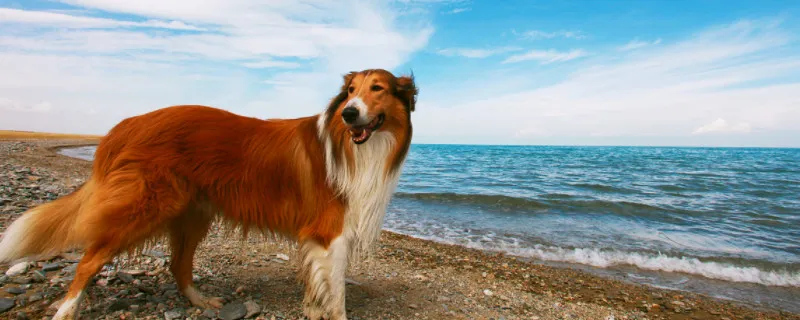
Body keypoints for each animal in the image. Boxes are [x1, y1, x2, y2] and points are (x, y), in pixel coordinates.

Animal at [0, 69, 422, 318]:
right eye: (350, 91)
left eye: (378, 88)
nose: (349, 113)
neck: (357, 148)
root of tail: (125, 125)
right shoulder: (330, 234)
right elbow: (336, 296)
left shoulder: (321, 241)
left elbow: (320, 290)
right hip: (143, 209)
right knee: (88, 262)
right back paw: (67, 308)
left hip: (191, 214)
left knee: (178, 264)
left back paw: (200, 301)